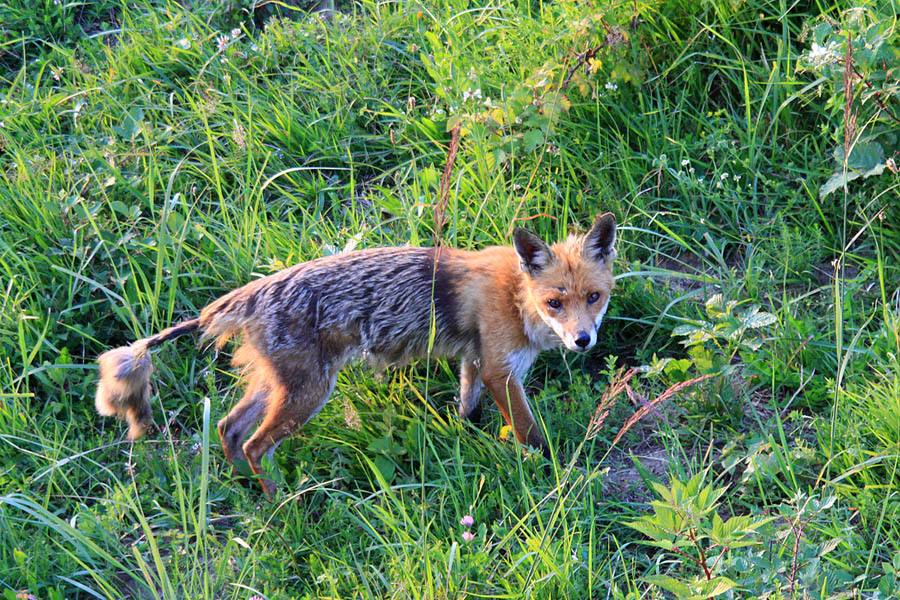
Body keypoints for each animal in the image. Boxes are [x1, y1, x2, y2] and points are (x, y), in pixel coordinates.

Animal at [95, 213, 616, 494]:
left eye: (594, 297)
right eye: (555, 303)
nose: (582, 341)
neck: (516, 295)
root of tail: (249, 292)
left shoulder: (475, 362)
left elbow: (467, 411)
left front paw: (464, 444)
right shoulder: (500, 371)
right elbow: (533, 436)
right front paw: (557, 477)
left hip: (279, 386)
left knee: (228, 429)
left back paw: (249, 494)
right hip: (308, 394)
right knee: (254, 443)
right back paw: (285, 504)